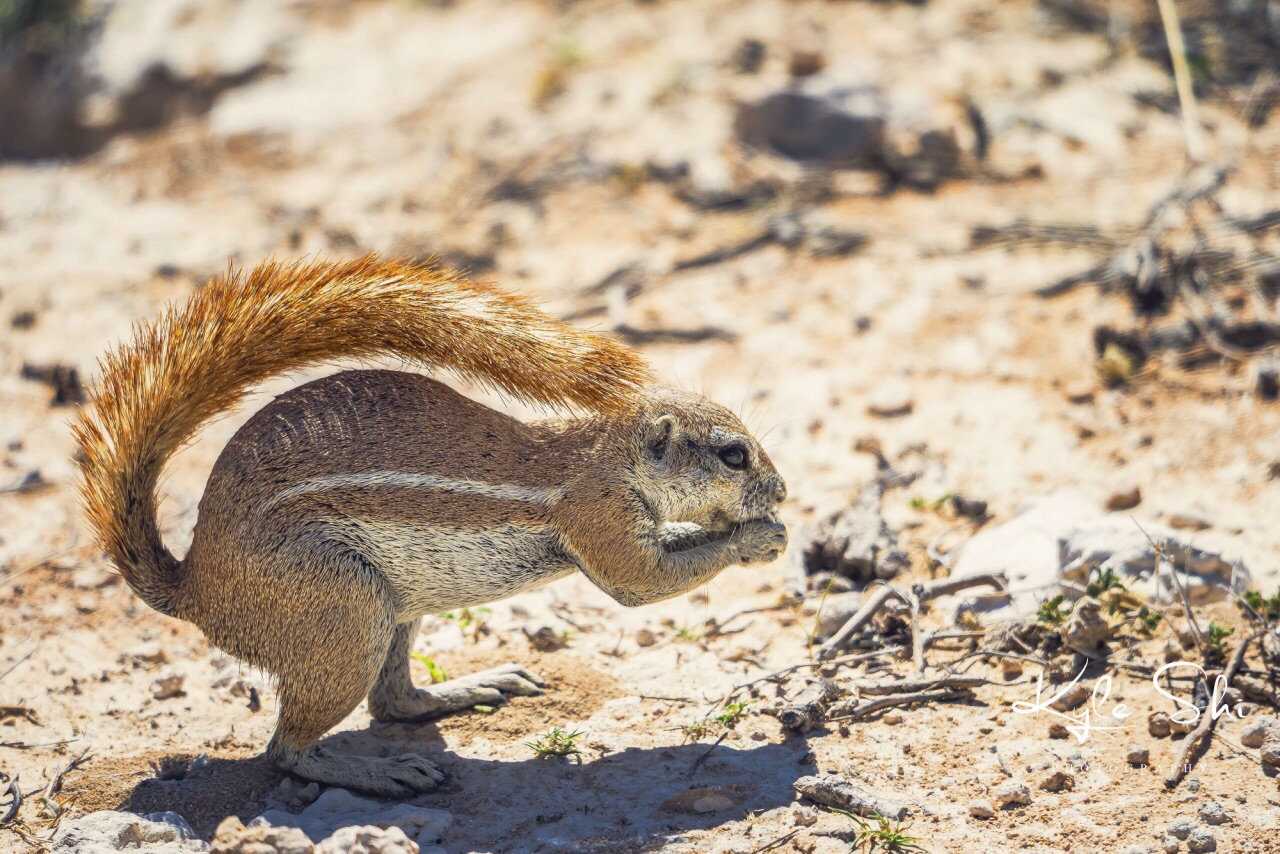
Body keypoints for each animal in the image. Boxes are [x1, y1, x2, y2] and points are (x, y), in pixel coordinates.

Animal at [77, 257, 788, 798]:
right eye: (733, 455)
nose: (782, 490)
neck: (606, 453)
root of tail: (195, 590)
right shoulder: (598, 512)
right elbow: (641, 581)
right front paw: (759, 537)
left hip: (394, 611)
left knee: (392, 701)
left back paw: (472, 687)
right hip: (343, 610)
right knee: (287, 750)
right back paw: (385, 774)